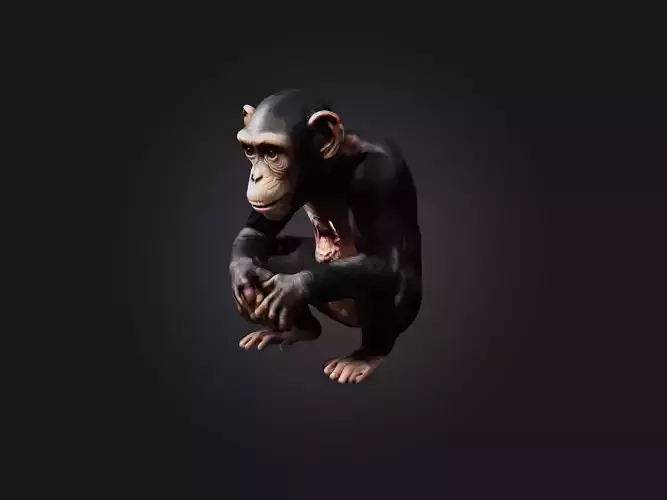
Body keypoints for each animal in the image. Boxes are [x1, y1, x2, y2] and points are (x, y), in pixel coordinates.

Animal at [229, 89, 422, 384]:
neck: (330, 165)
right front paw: (242, 274)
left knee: (381, 281)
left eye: (272, 152)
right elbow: (258, 230)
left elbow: (384, 262)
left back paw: (365, 356)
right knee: (274, 252)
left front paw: (292, 287)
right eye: (250, 151)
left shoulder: (380, 171)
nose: (255, 176)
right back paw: (300, 330)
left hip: (402, 313)